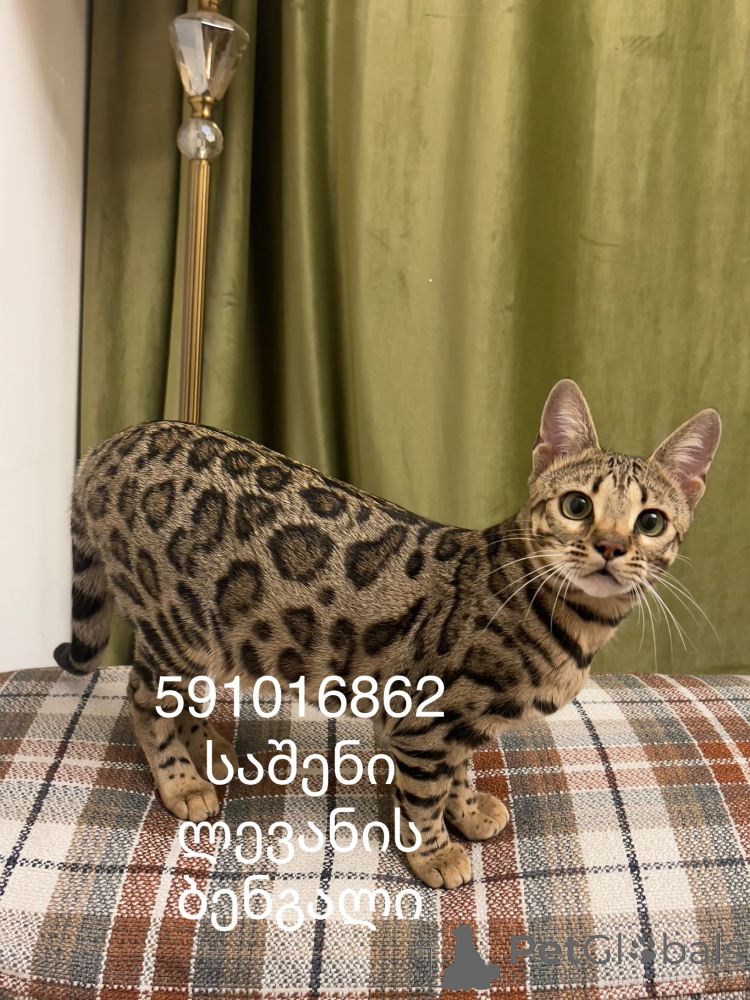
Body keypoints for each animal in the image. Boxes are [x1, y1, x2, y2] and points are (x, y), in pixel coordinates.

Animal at [54, 380, 720, 889]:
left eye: (651, 521)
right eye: (577, 506)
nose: (610, 546)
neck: (568, 623)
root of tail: (107, 445)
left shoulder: (460, 723)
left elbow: (460, 772)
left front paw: (468, 811)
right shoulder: (424, 720)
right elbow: (425, 795)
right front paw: (436, 853)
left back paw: (209, 750)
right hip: (180, 627)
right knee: (144, 698)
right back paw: (182, 781)